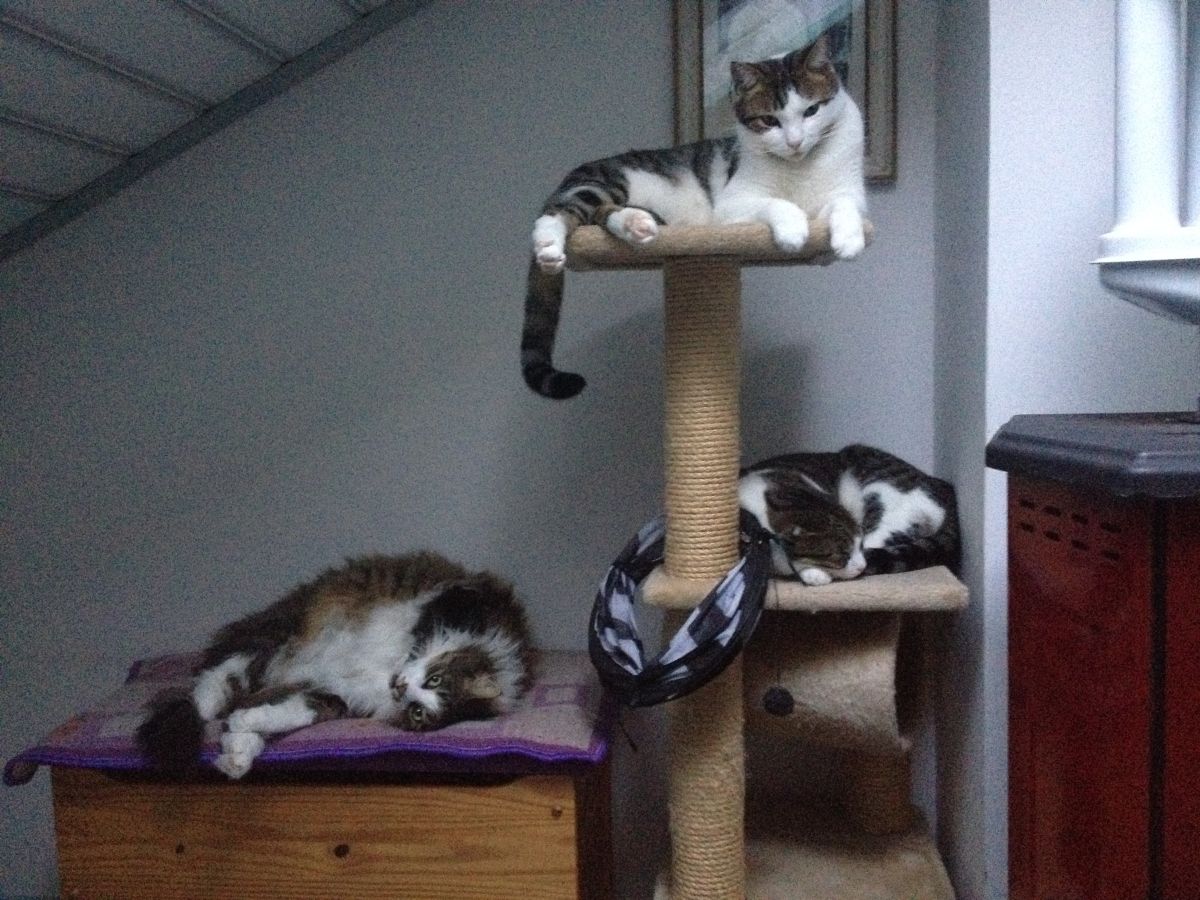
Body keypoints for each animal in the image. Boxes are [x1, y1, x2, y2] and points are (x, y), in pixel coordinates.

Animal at [136, 551, 535, 779]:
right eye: (434, 679)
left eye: (419, 713)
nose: (400, 687)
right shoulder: (451, 601)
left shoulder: (337, 695)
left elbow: (293, 715)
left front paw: (243, 729)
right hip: (274, 636)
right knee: (207, 692)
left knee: (238, 710)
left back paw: (235, 754)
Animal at [522, 32, 866, 399]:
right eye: (769, 121)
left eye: (811, 110)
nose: (795, 142)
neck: (800, 168)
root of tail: (574, 174)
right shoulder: (733, 202)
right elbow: (776, 203)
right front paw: (792, 230)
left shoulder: (847, 191)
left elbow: (846, 206)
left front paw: (848, 239)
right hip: (604, 183)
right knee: (561, 211)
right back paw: (549, 246)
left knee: (601, 214)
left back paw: (636, 225)